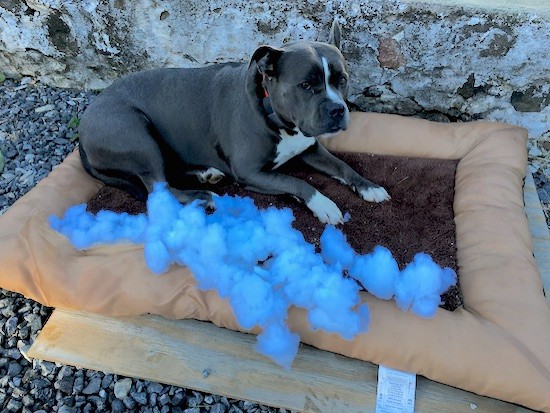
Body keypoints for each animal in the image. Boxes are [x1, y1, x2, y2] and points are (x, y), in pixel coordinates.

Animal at [80, 20, 392, 224]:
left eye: (342, 80)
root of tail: (85, 124)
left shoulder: (309, 147)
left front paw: (368, 186)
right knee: (160, 189)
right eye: (306, 85)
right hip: (135, 133)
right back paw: (205, 196)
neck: (275, 116)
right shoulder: (250, 172)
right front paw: (324, 204)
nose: (338, 110)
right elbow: (296, 182)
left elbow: (342, 165)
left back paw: (205, 174)